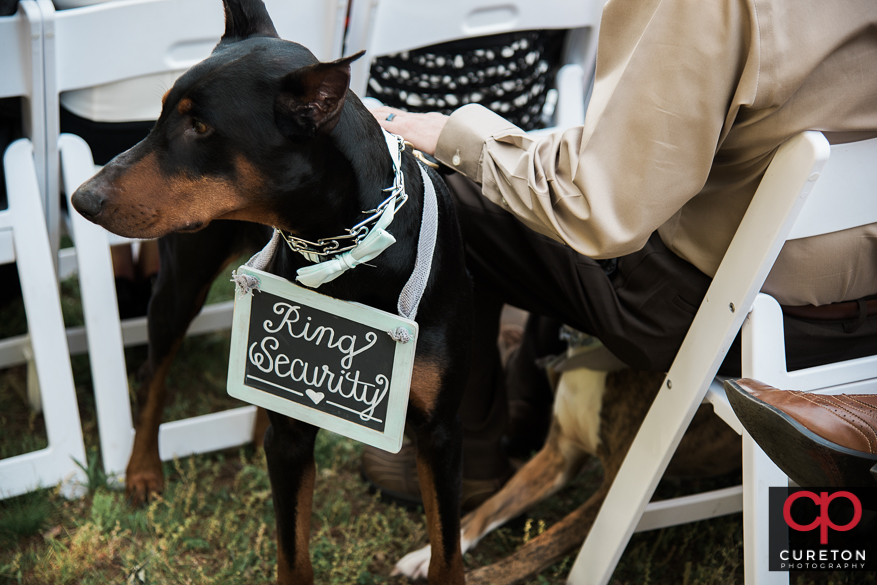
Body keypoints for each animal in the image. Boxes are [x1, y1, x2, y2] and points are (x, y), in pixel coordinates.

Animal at [70, 1, 472, 584]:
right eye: (162, 111)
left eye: (201, 125)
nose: (83, 199)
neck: (346, 249)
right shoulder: (291, 440)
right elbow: (292, 553)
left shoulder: (440, 434)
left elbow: (447, 552)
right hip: (180, 284)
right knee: (153, 375)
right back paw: (143, 469)